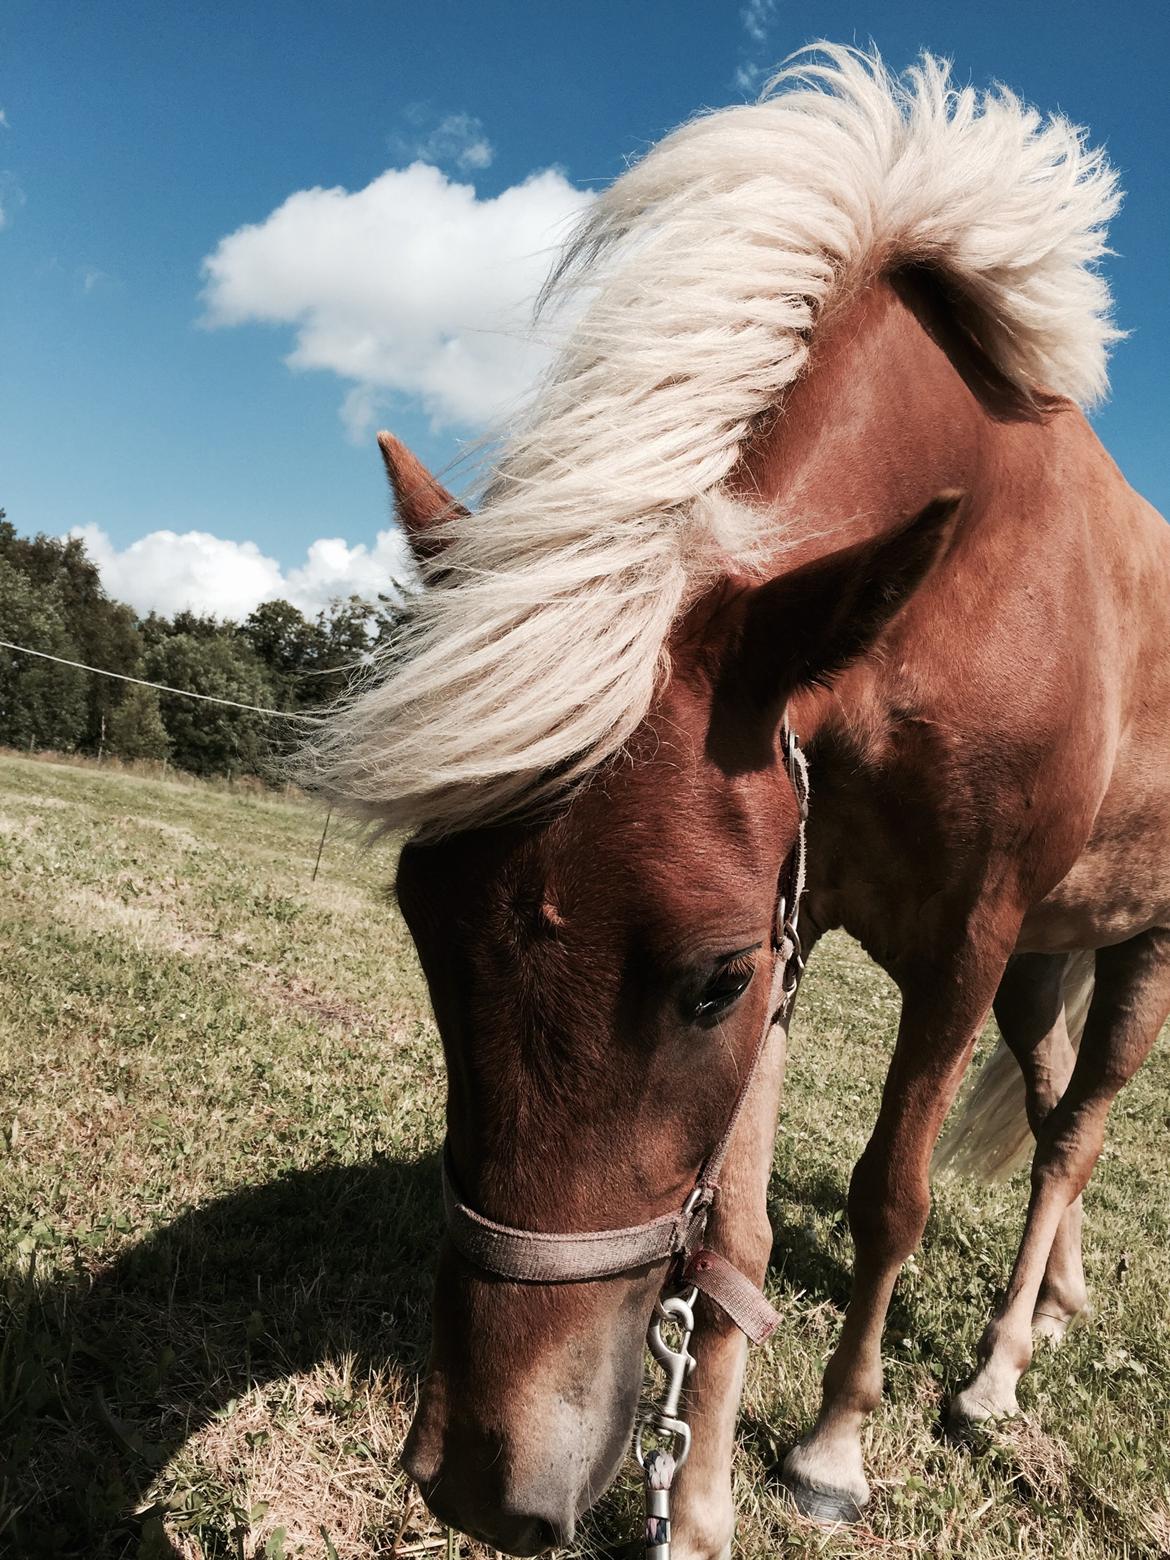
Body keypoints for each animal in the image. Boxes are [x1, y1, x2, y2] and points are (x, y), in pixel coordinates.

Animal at [304, 48, 1170, 1560]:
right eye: (422, 929)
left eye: (705, 982)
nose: (483, 1477)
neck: (967, 583)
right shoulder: (797, 905)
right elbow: (738, 1235)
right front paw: (697, 1503)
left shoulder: (950, 937)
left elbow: (891, 1192)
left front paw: (829, 1449)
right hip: (1048, 959)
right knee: (1055, 1099)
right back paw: (1054, 1303)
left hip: (1133, 945)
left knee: (1078, 1128)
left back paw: (995, 1371)